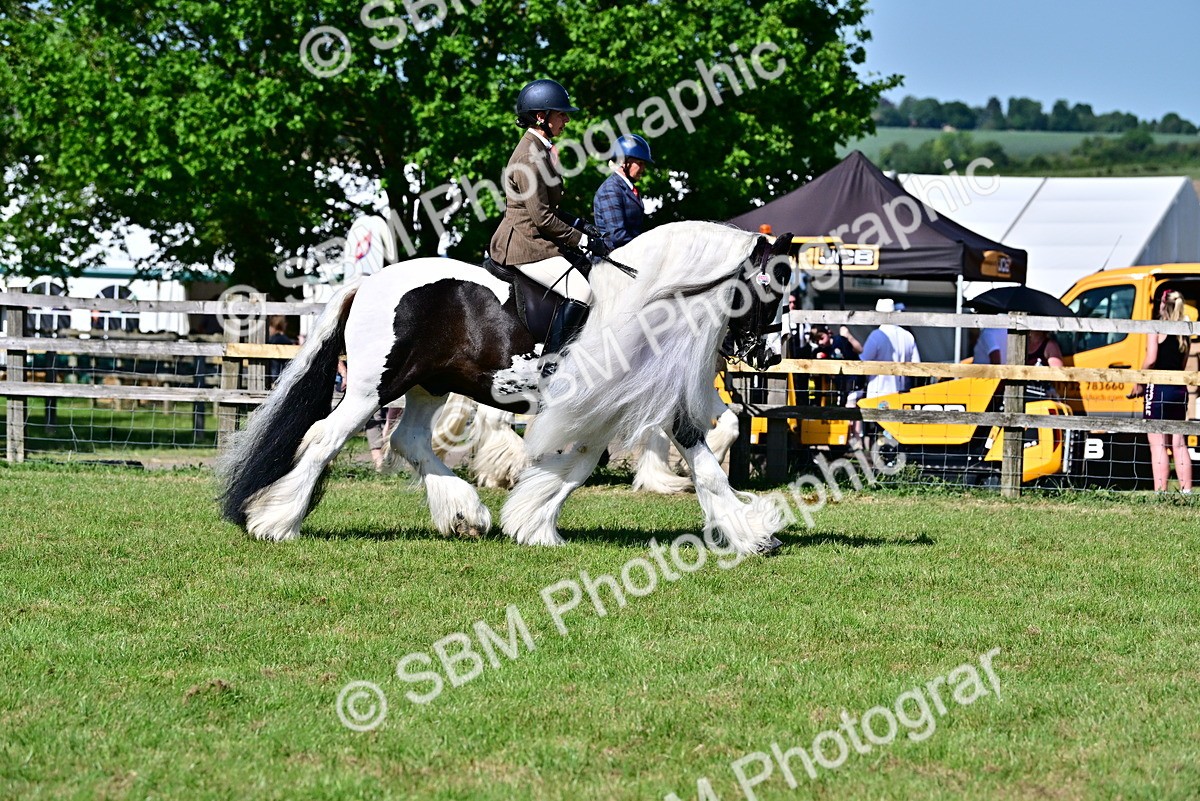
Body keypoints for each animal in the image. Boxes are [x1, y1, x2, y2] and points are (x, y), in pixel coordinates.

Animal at [217, 221, 793, 554]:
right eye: (772, 286)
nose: (771, 356)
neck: (653, 298)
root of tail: (368, 282)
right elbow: (701, 464)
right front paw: (752, 531)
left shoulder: (606, 407)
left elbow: (581, 465)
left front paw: (532, 522)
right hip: (370, 390)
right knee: (322, 438)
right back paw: (275, 522)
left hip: (428, 385)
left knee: (408, 439)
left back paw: (464, 515)